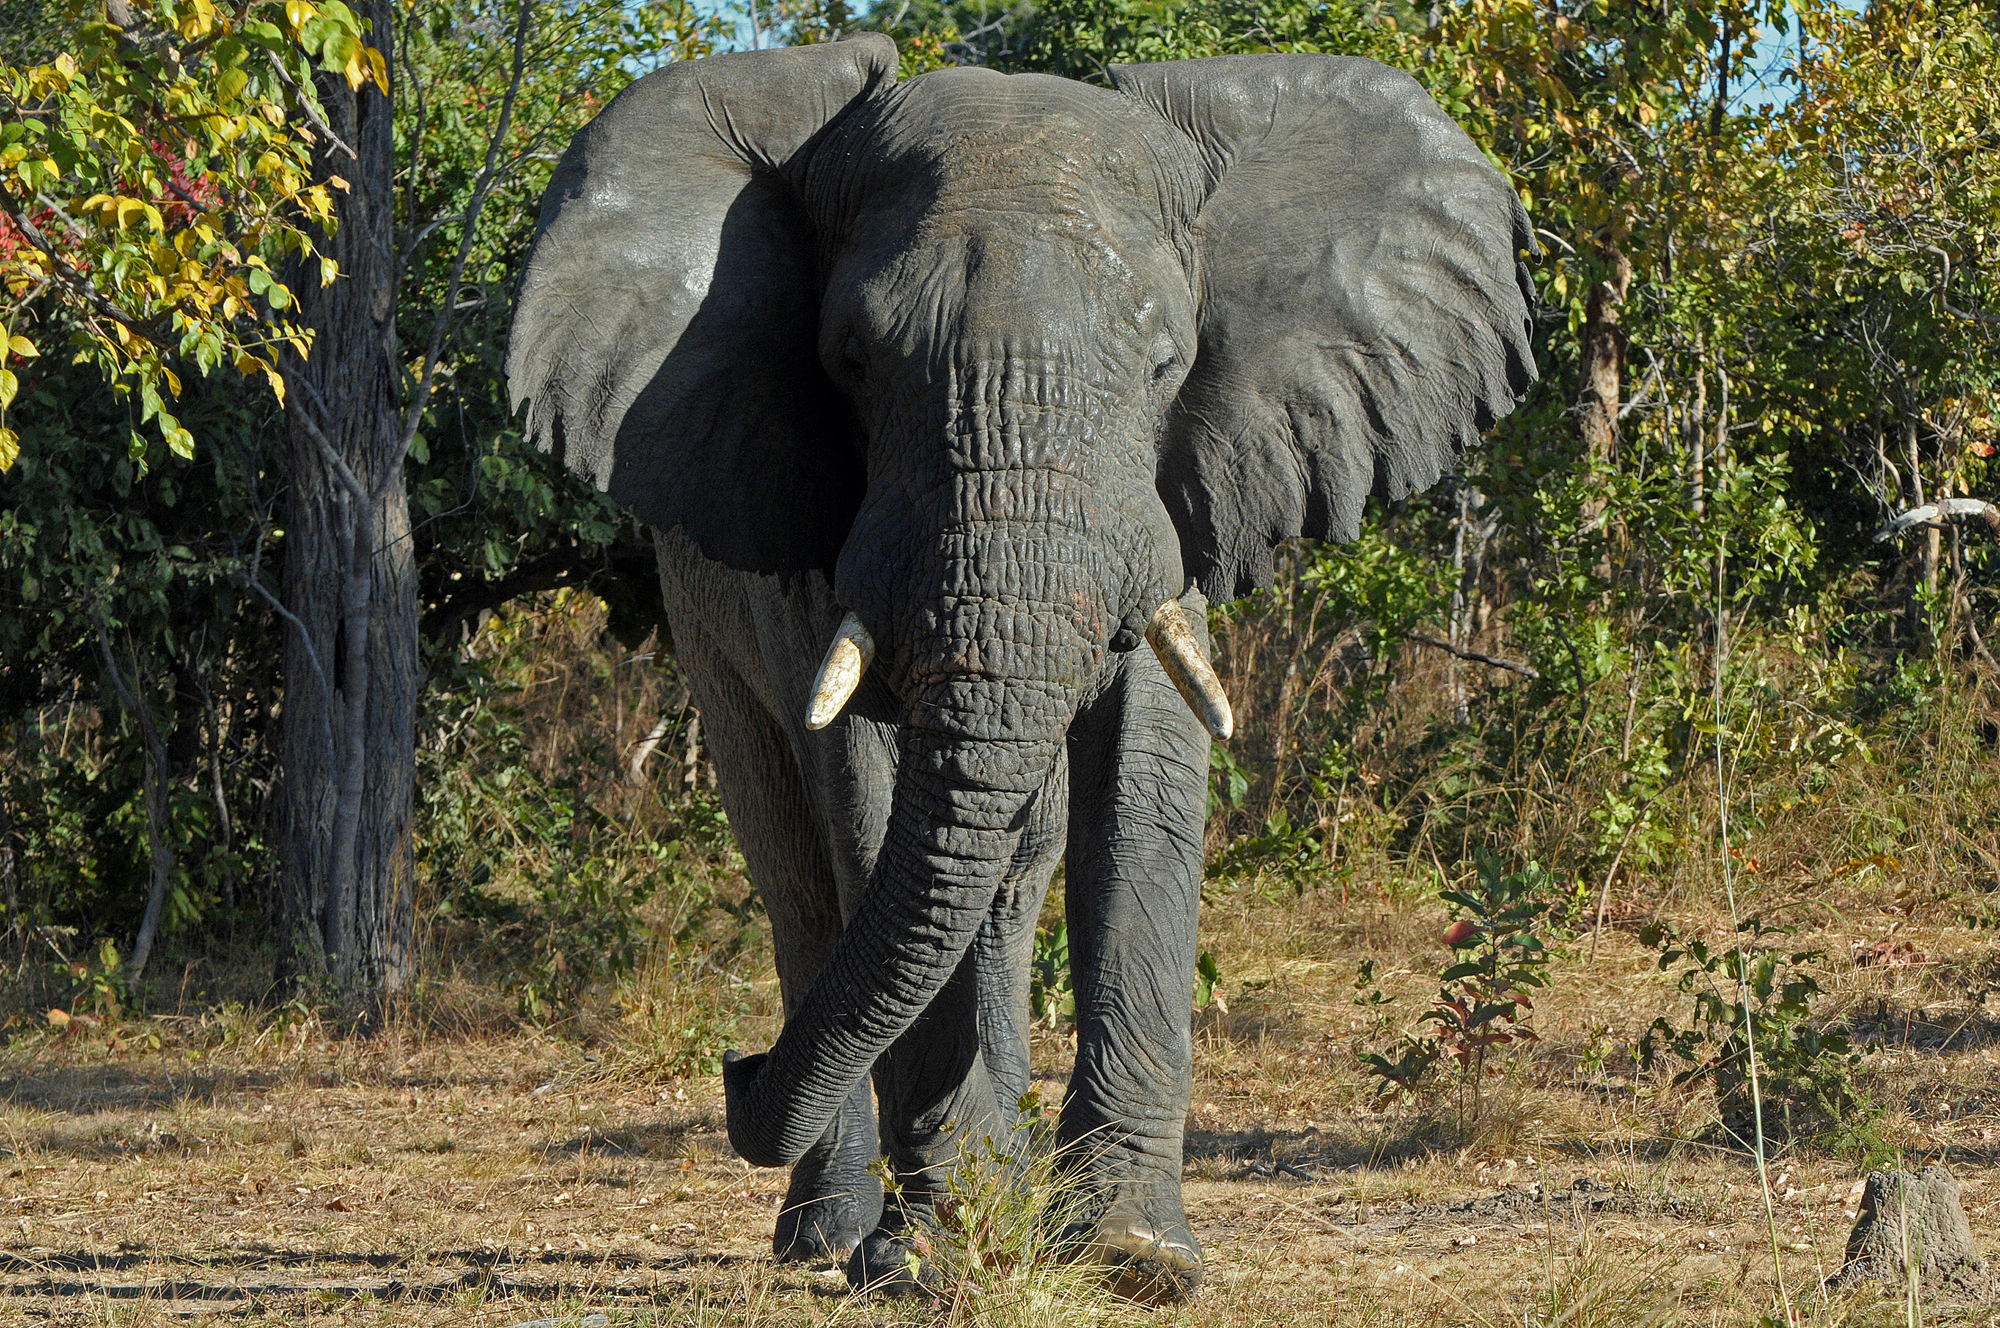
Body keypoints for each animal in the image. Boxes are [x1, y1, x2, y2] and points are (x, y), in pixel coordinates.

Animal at [506, 34, 1535, 1299]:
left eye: (1165, 364)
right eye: (850, 362)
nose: (736, 1072)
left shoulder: (1172, 493)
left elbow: (1144, 773)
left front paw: (1133, 1253)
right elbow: (868, 789)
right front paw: (932, 1252)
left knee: (999, 870)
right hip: (702, 618)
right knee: (804, 872)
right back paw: (836, 1234)